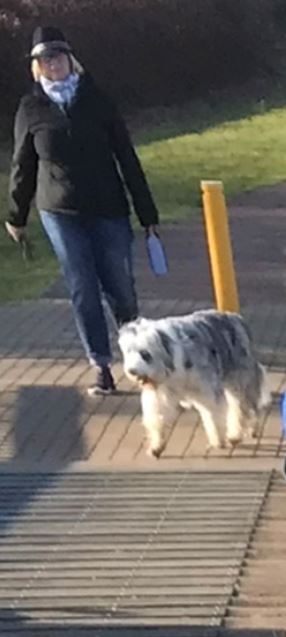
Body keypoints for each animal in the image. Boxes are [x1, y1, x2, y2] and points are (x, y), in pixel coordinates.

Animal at [117, 310, 270, 454]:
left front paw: (218, 440)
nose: (132, 370)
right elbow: (157, 418)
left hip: (240, 382)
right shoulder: (160, 395)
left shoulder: (208, 391)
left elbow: (213, 418)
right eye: (128, 352)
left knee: (242, 408)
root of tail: (235, 317)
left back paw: (237, 434)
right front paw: (157, 445)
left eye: (145, 354)